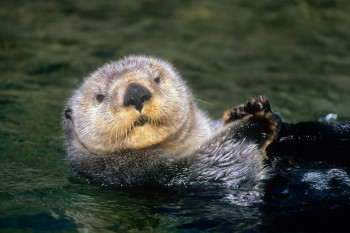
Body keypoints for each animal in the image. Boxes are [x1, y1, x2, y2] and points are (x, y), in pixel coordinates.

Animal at [63, 55, 350, 188]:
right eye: (99, 96)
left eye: (156, 78)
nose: (135, 93)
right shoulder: (161, 173)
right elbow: (228, 160)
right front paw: (254, 123)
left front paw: (249, 109)